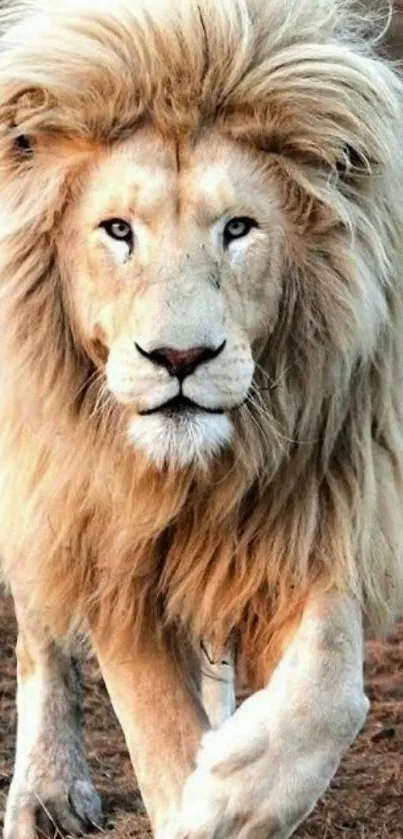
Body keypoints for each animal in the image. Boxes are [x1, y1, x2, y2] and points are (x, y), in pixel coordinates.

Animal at [0, 0, 403, 836]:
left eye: (238, 228)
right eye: (117, 229)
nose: (179, 357)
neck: (194, 475)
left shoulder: (316, 503)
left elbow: (328, 687)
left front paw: (236, 785)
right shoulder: (103, 529)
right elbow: (155, 718)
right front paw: (197, 801)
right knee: (41, 632)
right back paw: (46, 793)